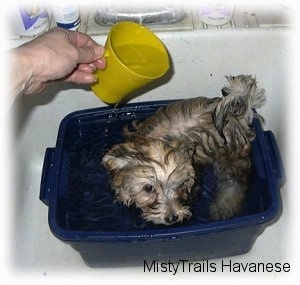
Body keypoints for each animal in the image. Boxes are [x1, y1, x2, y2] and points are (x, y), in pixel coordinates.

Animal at [102, 75, 264, 224]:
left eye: (179, 185)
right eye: (148, 188)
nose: (172, 218)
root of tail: (239, 115)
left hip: (234, 161)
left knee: (232, 187)